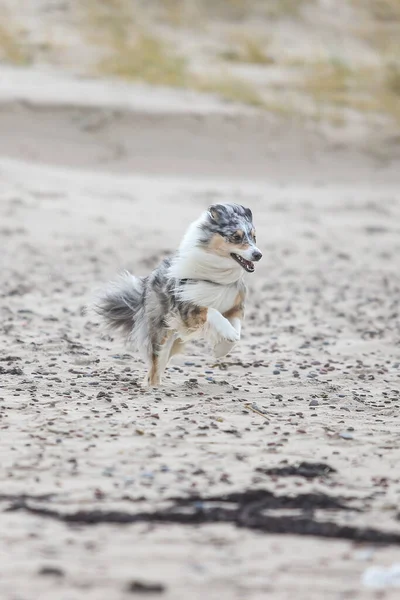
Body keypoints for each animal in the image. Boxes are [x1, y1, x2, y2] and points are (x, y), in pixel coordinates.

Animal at [94, 204, 262, 386]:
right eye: (236, 237)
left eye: (254, 237)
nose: (258, 254)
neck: (217, 274)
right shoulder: (186, 310)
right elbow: (212, 312)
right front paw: (227, 335)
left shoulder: (235, 306)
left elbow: (236, 331)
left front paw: (221, 348)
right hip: (161, 335)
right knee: (154, 368)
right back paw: (154, 387)